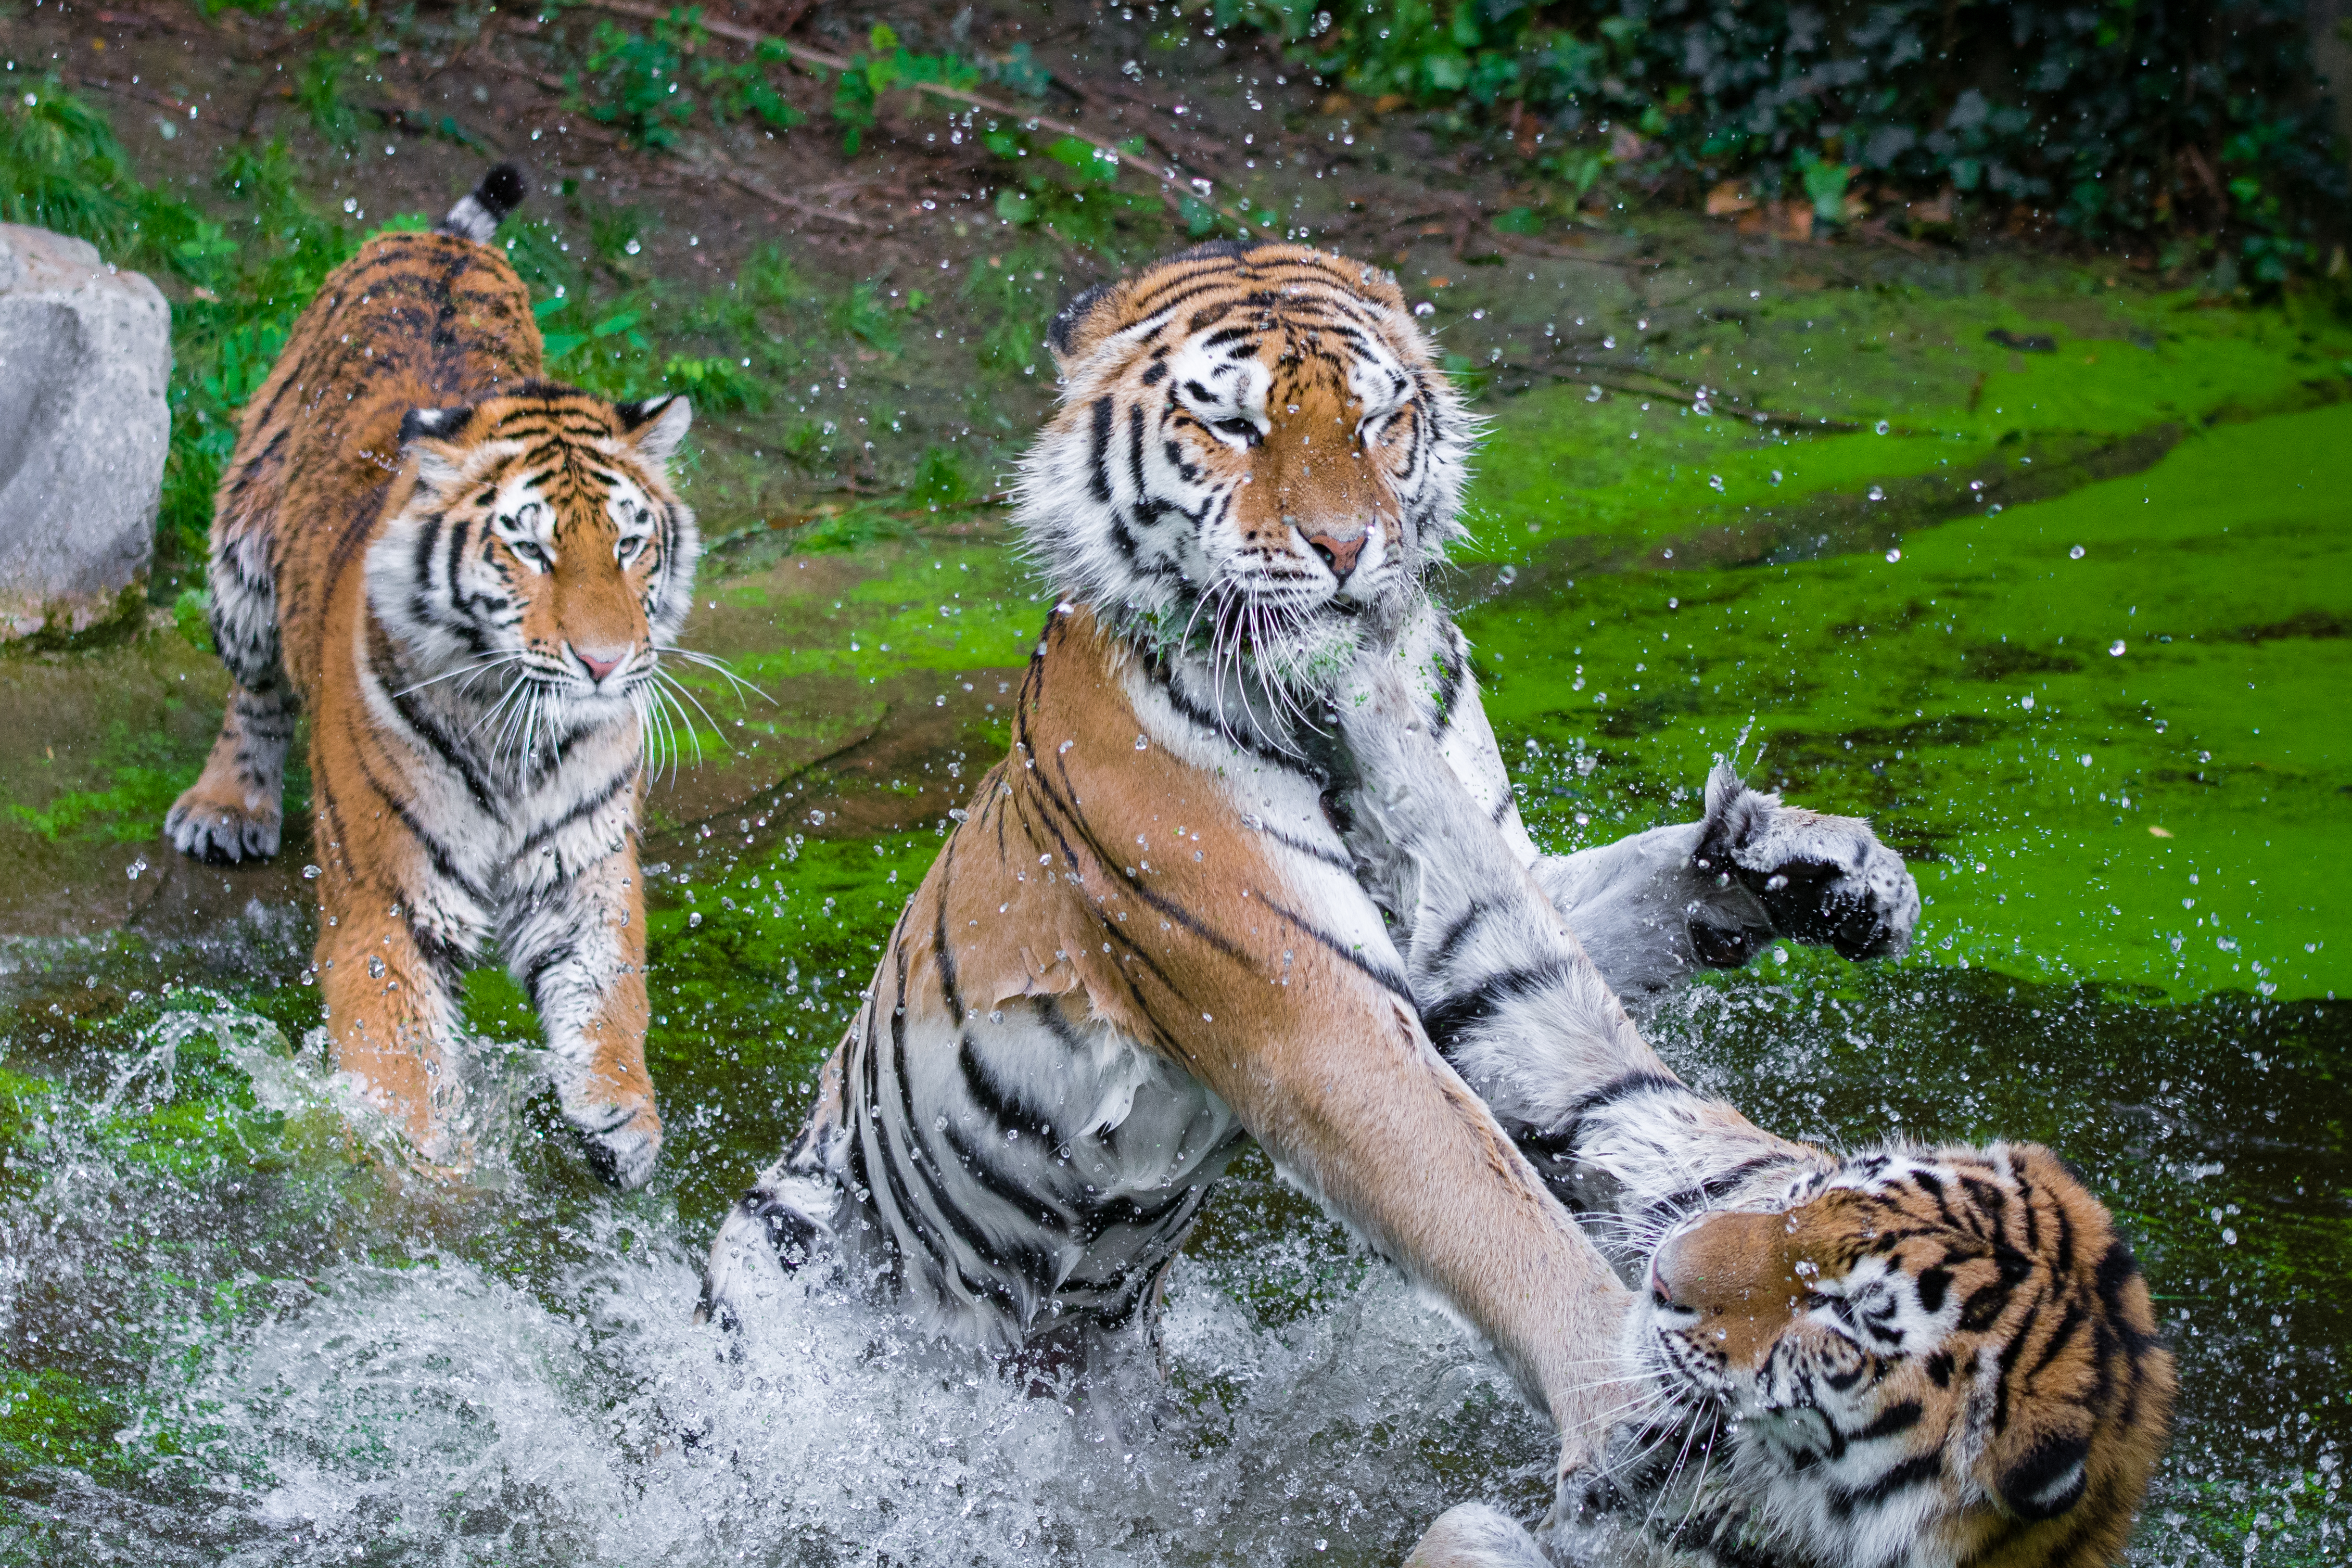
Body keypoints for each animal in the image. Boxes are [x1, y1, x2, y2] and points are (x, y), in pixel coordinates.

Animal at [705, 248, 1919, 1495]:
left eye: (1379, 418)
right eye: (1233, 425)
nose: (1345, 552)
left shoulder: (1450, 894)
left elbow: (1584, 928)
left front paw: (1823, 866)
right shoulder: (1306, 1003)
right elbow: (1479, 1197)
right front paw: (1623, 1390)